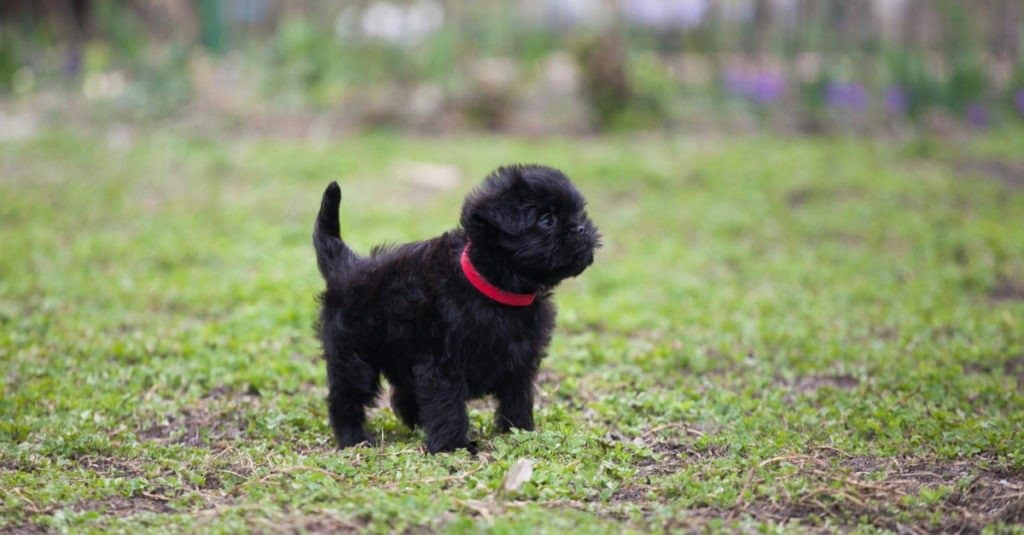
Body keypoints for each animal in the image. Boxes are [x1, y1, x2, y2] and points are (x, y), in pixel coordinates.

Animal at [311, 163, 598, 450]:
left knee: (403, 396)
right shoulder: (442, 363)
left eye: (578, 213)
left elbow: (517, 397)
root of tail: (346, 265)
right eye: (546, 220)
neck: (495, 288)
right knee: (346, 397)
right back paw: (353, 437)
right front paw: (453, 445)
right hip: (353, 357)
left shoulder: (521, 360)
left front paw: (520, 430)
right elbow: (447, 405)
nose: (581, 228)